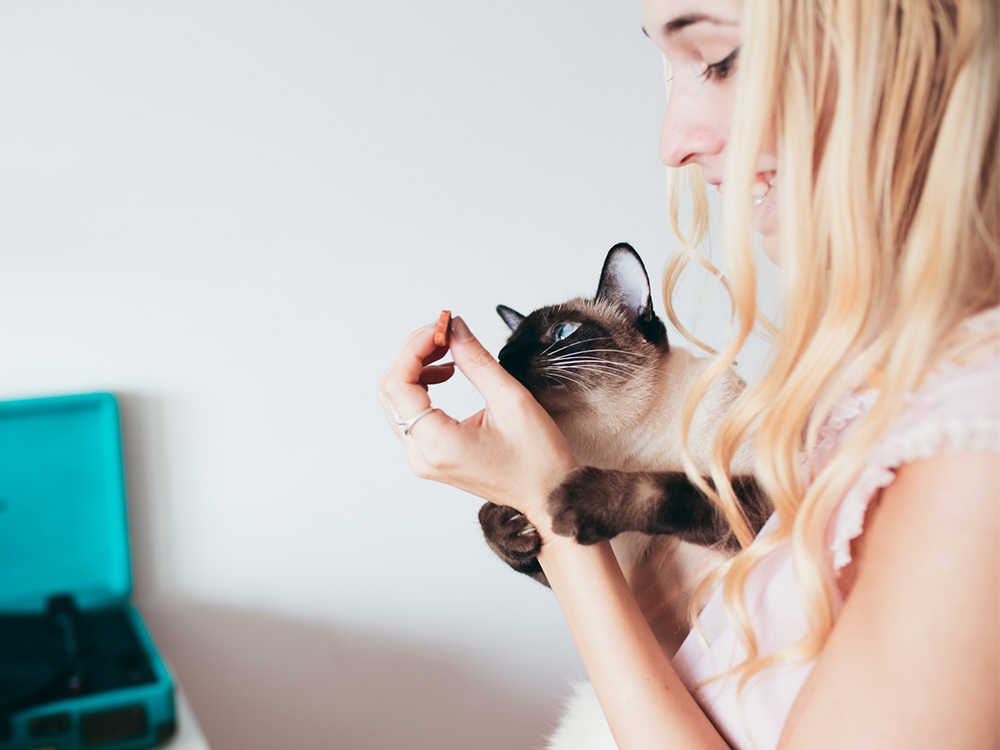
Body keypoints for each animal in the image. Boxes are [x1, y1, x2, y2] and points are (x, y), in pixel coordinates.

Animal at [480, 244, 768, 748]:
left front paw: (582, 493)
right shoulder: (616, 578)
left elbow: (672, 486)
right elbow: (495, 526)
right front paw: (509, 523)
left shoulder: (766, 504)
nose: (502, 356)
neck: (622, 447)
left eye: (562, 333)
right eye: (509, 345)